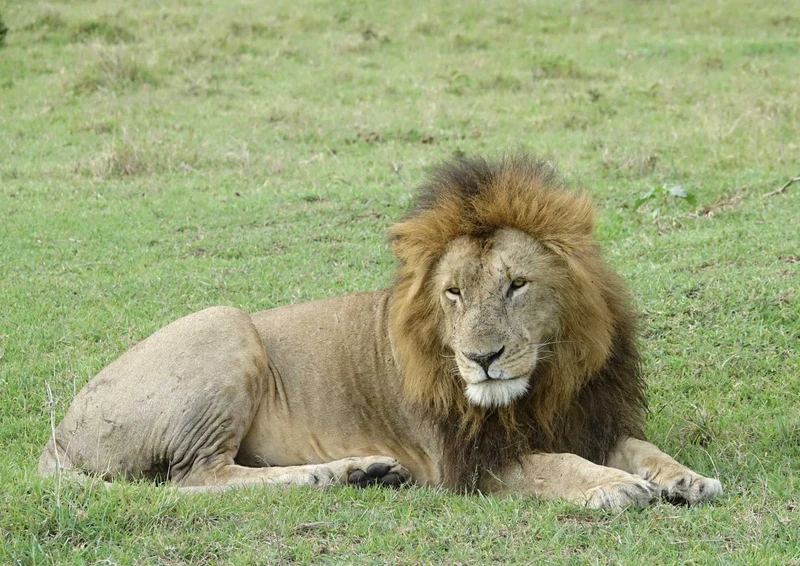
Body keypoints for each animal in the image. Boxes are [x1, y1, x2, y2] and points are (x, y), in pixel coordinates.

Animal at [39, 155, 722, 510]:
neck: (542, 383)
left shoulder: (588, 417)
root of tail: (60, 433)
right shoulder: (464, 463)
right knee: (199, 479)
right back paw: (336, 474)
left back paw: (365, 473)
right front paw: (616, 488)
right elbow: (556, 467)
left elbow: (642, 448)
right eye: (453, 293)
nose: (483, 358)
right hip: (225, 323)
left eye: (517, 285)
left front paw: (687, 478)